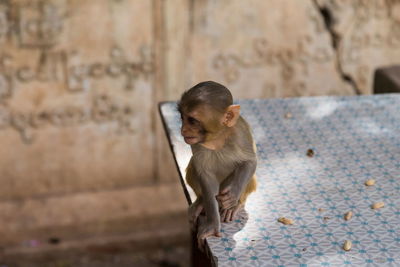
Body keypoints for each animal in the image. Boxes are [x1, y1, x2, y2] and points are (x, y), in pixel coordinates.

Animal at [177, 81, 256, 249]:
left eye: (192, 120)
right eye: (182, 117)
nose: (183, 130)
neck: (217, 138)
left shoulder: (240, 134)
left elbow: (250, 162)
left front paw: (233, 194)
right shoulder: (197, 143)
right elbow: (204, 175)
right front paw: (212, 224)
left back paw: (236, 205)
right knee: (194, 166)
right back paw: (201, 202)